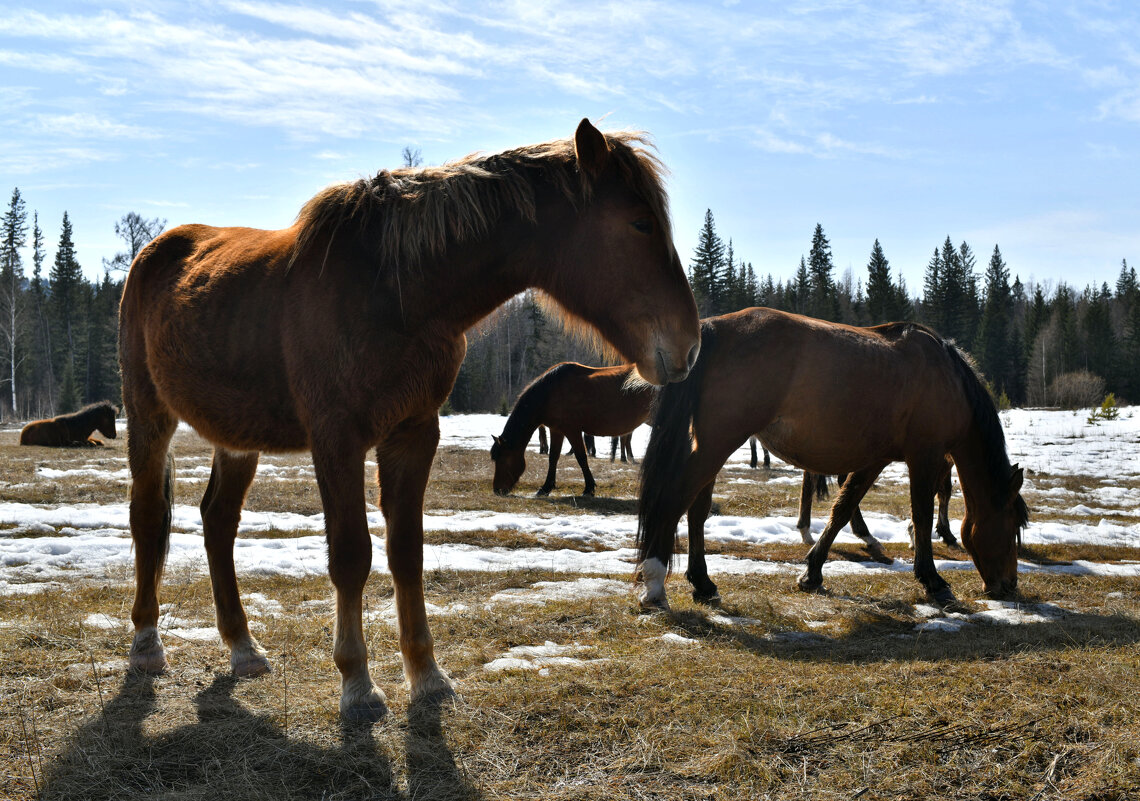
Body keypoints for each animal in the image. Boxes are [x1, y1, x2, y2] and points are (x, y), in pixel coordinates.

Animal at [492, 362, 661, 494]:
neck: (551, 391)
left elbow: (581, 457)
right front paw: (546, 487)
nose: (497, 490)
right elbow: (553, 457)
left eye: (503, 460)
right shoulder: (557, 430)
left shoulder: (572, 430)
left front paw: (589, 488)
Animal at [638, 309, 1030, 610]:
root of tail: (713, 328)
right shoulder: (926, 456)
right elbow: (922, 516)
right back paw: (655, 585)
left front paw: (812, 573)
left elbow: (843, 509)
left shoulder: (874, 459)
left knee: (696, 509)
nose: (1008, 584)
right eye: (1013, 525)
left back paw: (703, 584)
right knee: (674, 499)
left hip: (713, 445)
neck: (946, 377)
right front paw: (933, 581)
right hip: (719, 443)